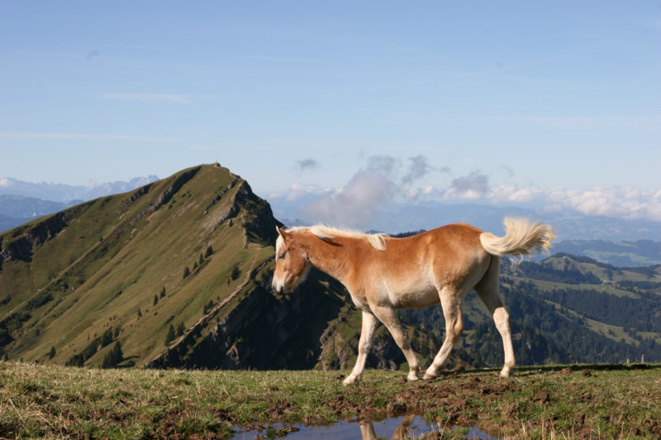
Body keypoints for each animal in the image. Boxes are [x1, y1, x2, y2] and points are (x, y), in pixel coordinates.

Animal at [272, 217, 554, 385]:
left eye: (282, 255)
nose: (277, 288)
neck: (355, 258)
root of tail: (480, 236)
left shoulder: (384, 309)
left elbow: (400, 338)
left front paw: (414, 372)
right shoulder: (369, 312)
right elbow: (364, 345)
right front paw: (353, 377)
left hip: (449, 293)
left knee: (454, 328)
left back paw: (432, 370)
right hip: (486, 287)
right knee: (502, 320)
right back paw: (507, 369)